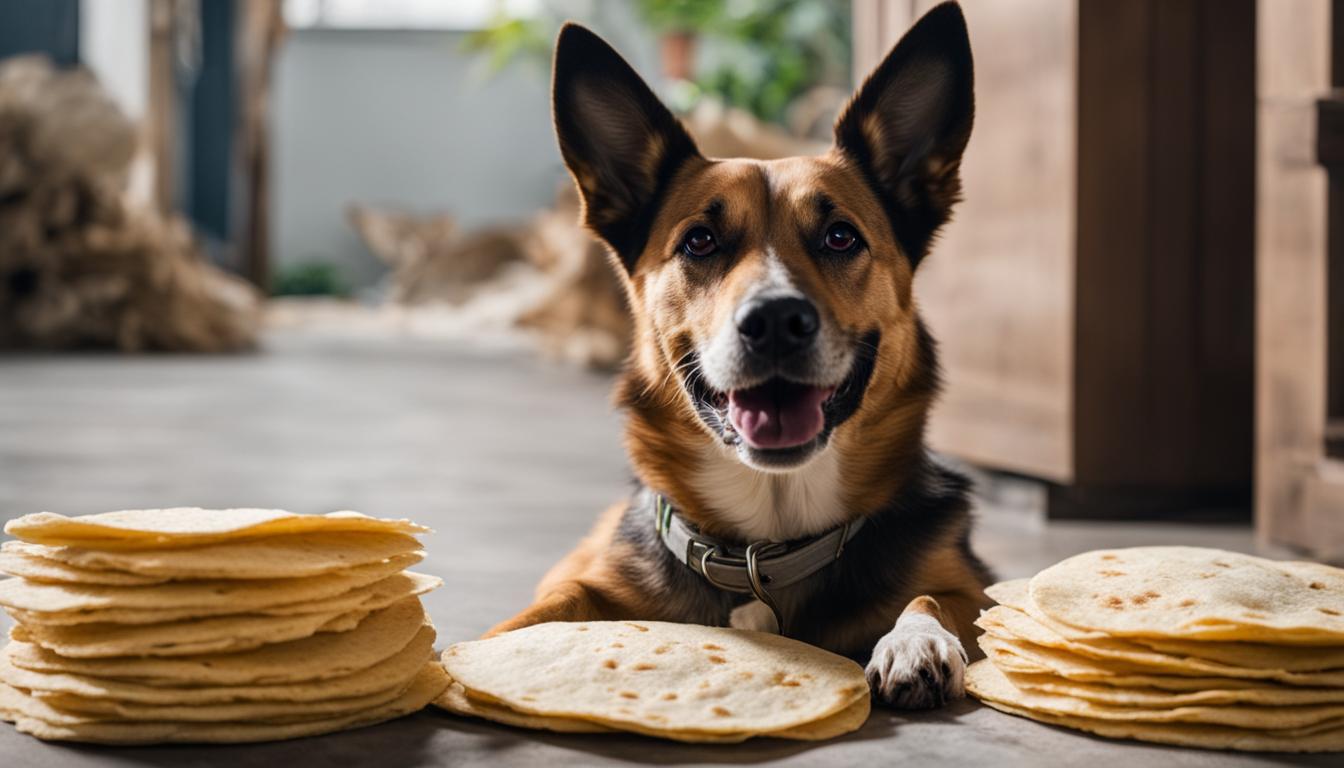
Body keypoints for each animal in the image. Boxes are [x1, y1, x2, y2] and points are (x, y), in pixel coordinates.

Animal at [489, 1, 994, 710]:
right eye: (700, 241)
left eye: (841, 237)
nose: (775, 321)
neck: (764, 546)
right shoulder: (585, 577)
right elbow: (543, 609)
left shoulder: (979, 590)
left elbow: (935, 597)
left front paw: (915, 639)